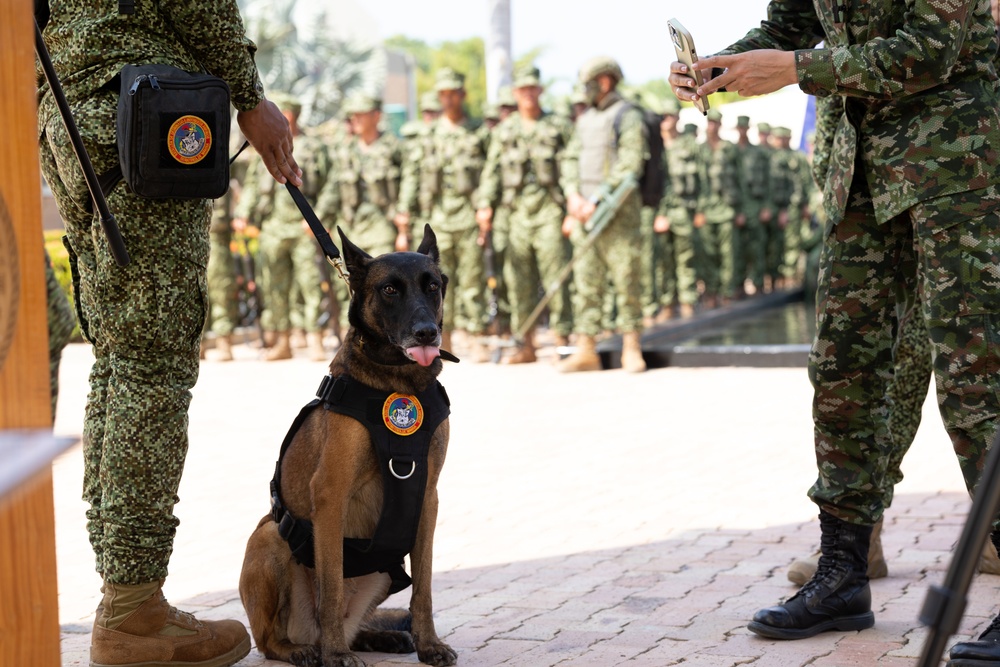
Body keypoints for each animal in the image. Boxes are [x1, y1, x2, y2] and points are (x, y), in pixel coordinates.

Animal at [240, 227, 458, 664]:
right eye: (389, 289)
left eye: (433, 287)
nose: (427, 332)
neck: (398, 382)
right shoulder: (330, 493)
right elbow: (331, 587)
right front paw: (336, 654)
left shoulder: (428, 499)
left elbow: (424, 588)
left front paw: (429, 644)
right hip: (270, 537)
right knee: (271, 640)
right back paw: (308, 650)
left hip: (383, 574)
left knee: (356, 623)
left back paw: (380, 637)